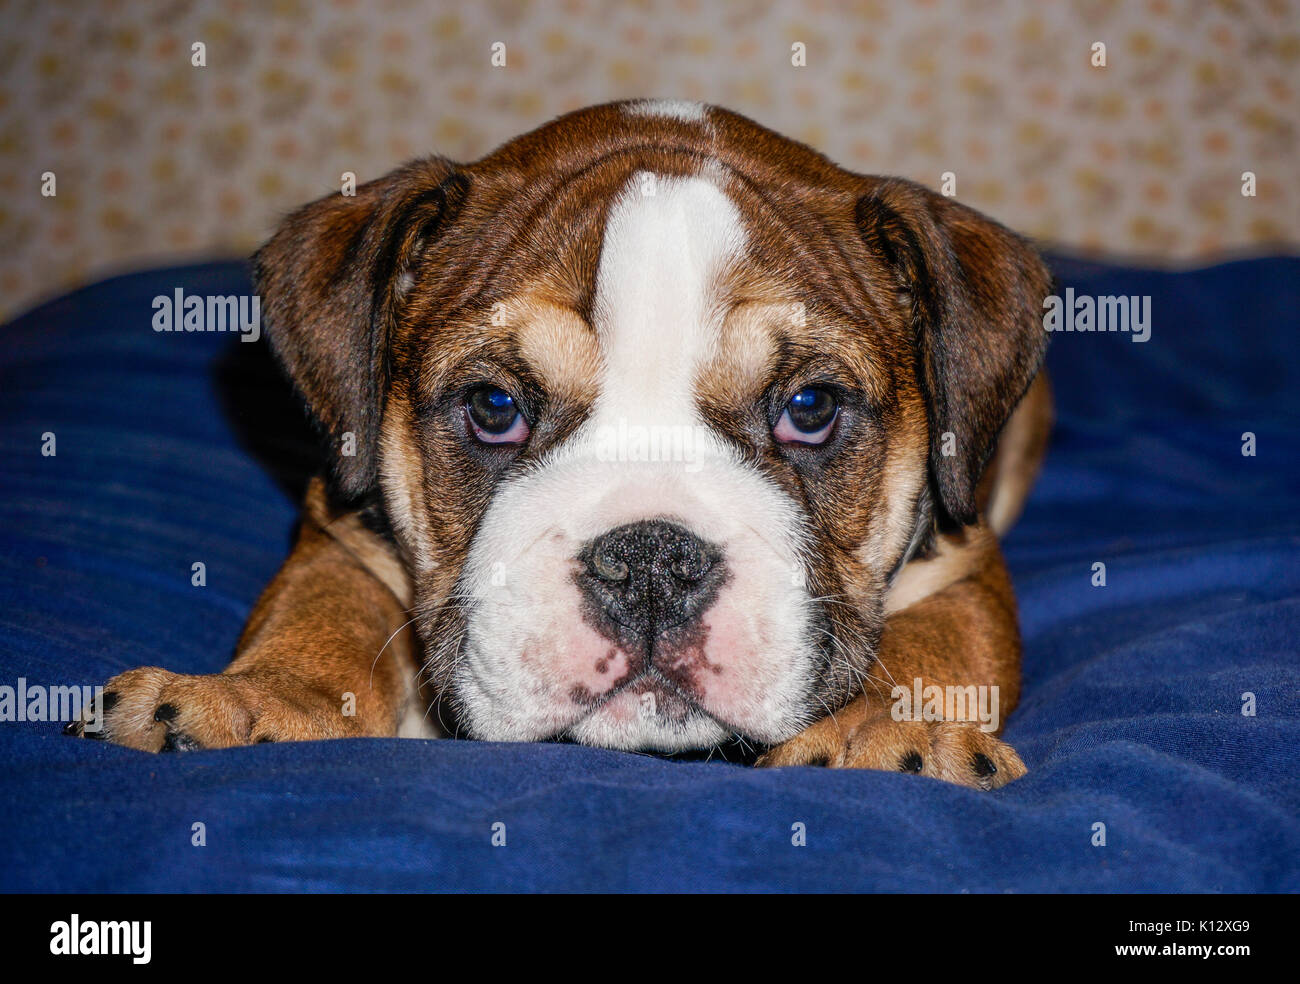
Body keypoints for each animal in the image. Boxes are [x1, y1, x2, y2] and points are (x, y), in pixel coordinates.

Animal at [71, 100, 1050, 785]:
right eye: (494, 406)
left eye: (809, 407)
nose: (651, 560)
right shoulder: (341, 529)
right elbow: (320, 619)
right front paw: (252, 701)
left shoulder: (963, 566)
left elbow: (926, 650)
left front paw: (879, 733)